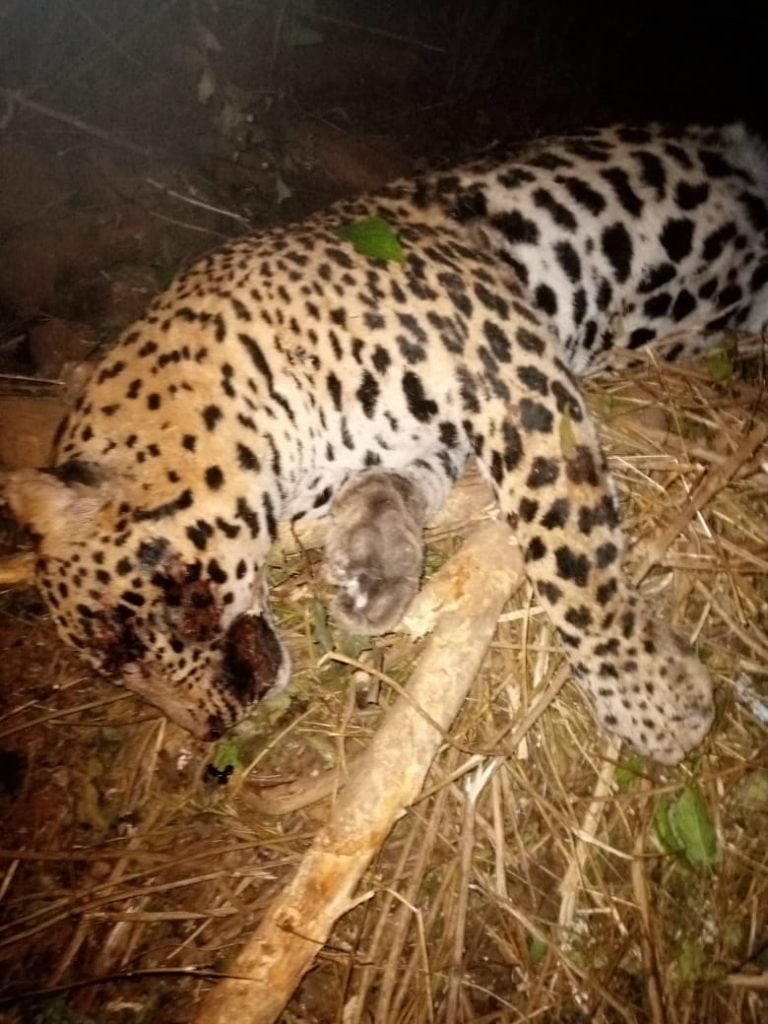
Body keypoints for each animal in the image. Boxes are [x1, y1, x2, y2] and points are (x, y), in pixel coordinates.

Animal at [5, 123, 768, 764]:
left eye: (126, 637)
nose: (212, 730)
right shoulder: (428, 429)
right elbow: (397, 484)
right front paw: (371, 570)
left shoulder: (507, 367)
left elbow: (567, 547)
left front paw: (651, 699)